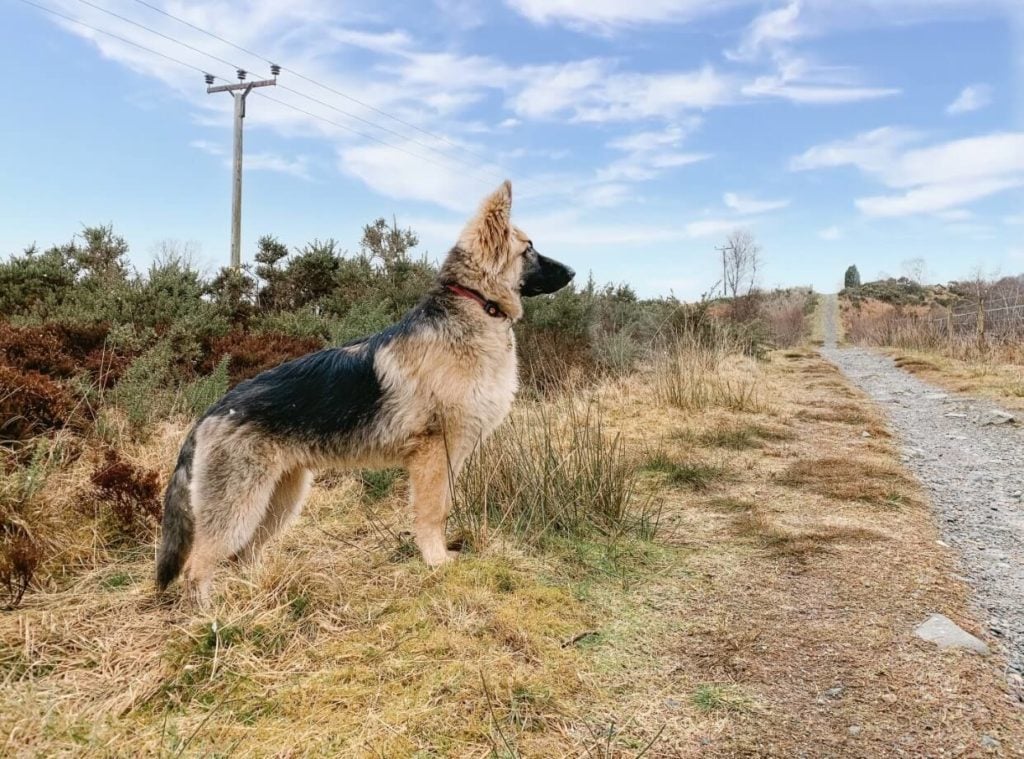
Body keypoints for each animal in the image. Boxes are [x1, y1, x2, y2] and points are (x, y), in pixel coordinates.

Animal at [159, 180, 577, 602]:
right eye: (529, 249)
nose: (574, 271)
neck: (475, 304)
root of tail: (211, 412)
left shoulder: (450, 459)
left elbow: (443, 509)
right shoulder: (433, 456)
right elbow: (432, 513)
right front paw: (436, 563)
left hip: (281, 500)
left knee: (246, 553)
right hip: (240, 508)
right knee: (198, 566)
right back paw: (211, 612)